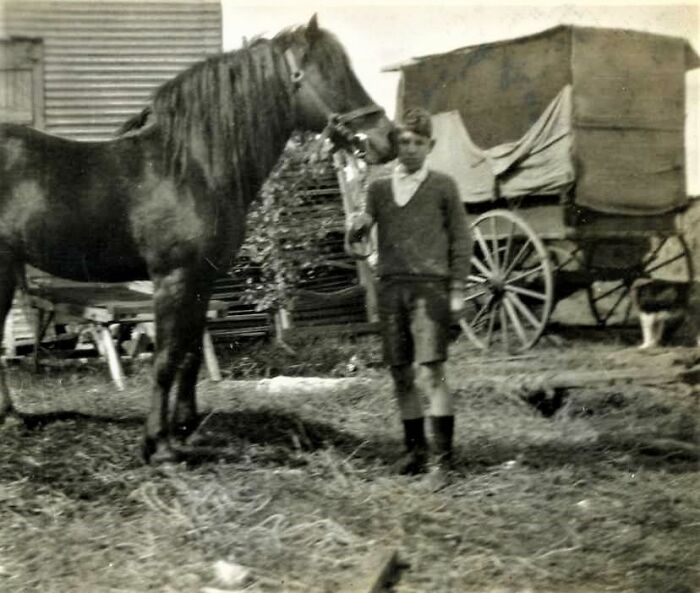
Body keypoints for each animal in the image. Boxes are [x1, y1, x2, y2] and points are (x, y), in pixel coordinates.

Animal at [0, 15, 396, 463]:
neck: (192, 168)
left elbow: (190, 354)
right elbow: (167, 358)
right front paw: (158, 444)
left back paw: (11, 418)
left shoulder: (202, 279)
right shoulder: (174, 278)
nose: (388, 139)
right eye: (329, 73)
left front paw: (186, 430)